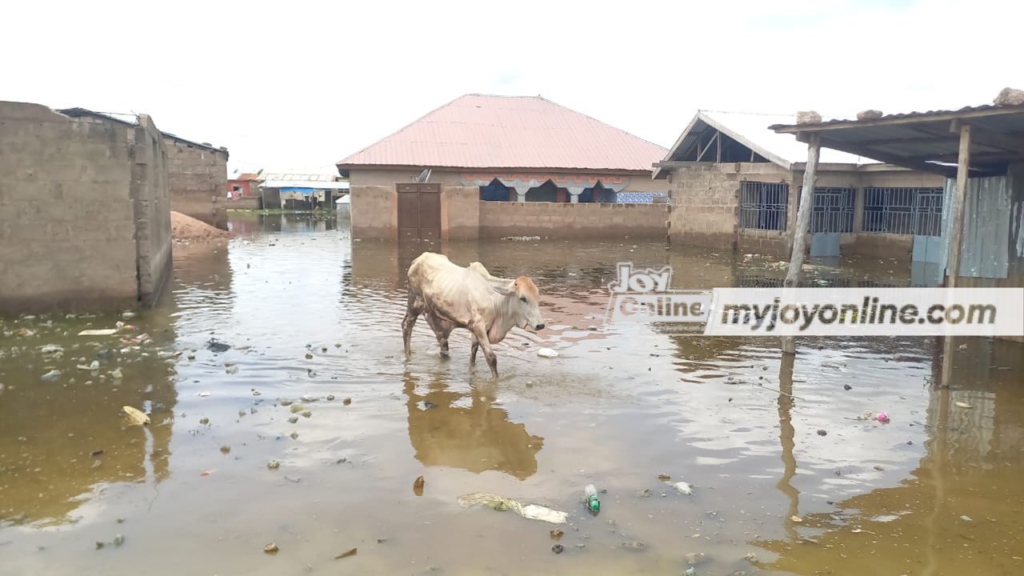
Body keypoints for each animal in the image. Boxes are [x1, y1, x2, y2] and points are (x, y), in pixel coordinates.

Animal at [401, 251, 544, 377]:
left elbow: (473, 353)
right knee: (406, 326)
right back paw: (407, 355)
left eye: (537, 296)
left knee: (443, 344)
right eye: (523, 298)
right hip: (414, 303)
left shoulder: (475, 330)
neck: (495, 300)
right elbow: (491, 357)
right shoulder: (478, 327)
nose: (540, 325)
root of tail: (418, 259)